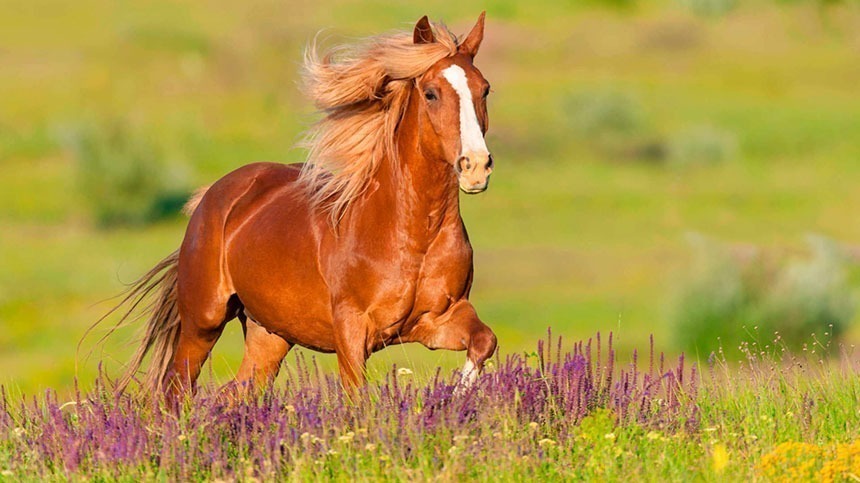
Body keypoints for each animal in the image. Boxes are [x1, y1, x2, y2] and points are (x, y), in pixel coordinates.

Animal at [106, 13, 498, 398]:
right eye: (431, 93)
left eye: (485, 89)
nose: (475, 166)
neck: (412, 234)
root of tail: (213, 196)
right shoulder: (352, 330)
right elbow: (357, 398)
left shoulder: (437, 319)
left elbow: (485, 341)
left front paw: (458, 398)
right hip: (204, 321)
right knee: (177, 389)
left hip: (270, 334)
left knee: (237, 391)